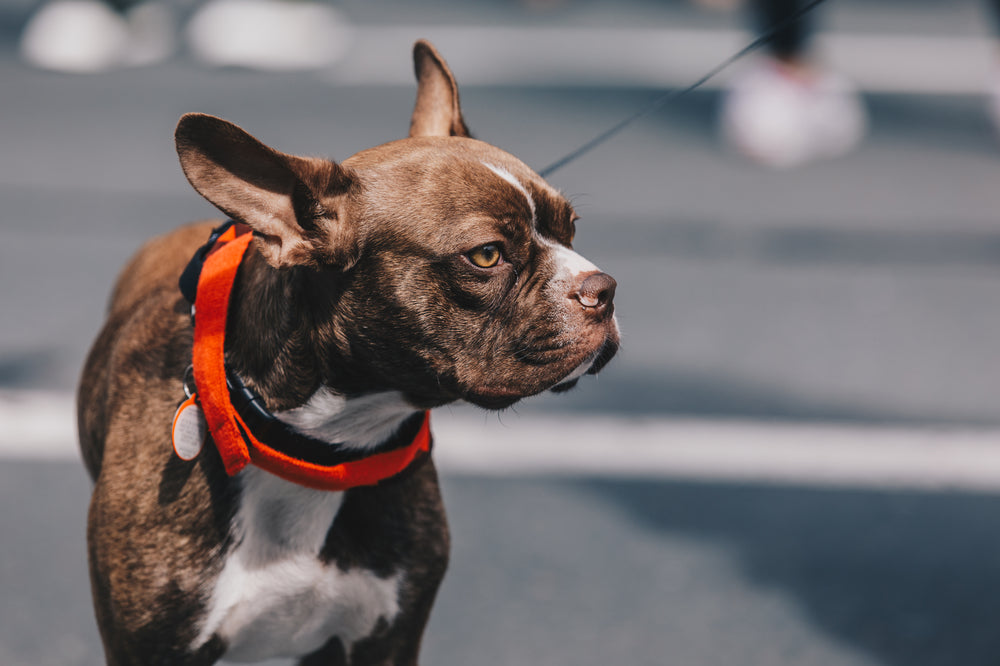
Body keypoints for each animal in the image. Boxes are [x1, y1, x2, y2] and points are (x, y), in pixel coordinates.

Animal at [78, 39, 620, 660]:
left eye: (572, 230)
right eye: (486, 255)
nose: (604, 288)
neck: (324, 448)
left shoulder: (386, 641)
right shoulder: (150, 648)